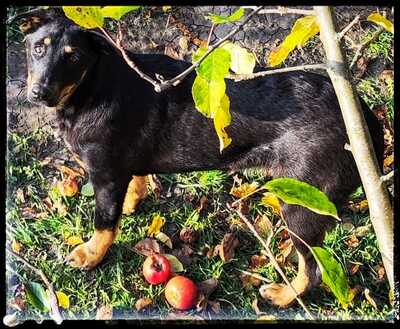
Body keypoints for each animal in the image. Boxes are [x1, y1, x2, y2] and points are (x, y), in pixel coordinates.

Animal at [12, 9, 382, 306]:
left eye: (74, 58)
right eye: (38, 48)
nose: (39, 93)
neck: (91, 88)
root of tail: (365, 120)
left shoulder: (104, 175)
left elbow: (104, 224)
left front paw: (90, 254)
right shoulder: (122, 169)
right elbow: (136, 181)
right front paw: (132, 202)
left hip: (303, 206)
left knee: (314, 268)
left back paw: (284, 295)